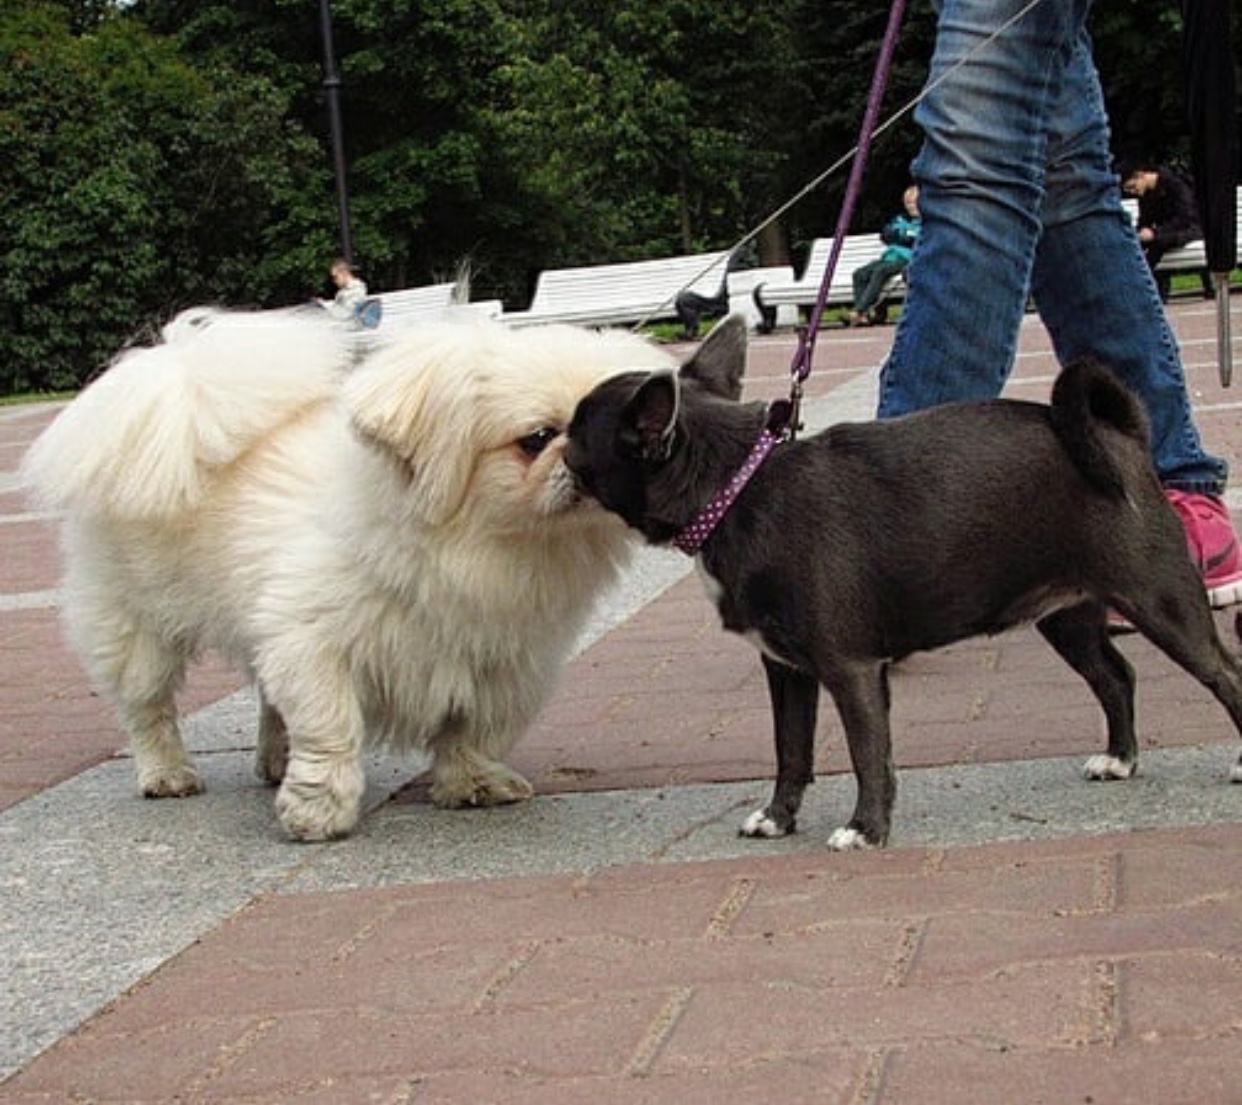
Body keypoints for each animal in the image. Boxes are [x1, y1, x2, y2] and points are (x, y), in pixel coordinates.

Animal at [21, 305, 680, 839]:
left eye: (624, 435)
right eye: (537, 438)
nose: (584, 463)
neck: (483, 546)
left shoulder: (504, 661)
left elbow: (475, 729)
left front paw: (472, 785)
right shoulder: (311, 643)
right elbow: (331, 727)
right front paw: (318, 812)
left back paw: (272, 760)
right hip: (138, 624)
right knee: (148, 706)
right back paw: (167, 773)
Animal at [566, 314, 1242, 849]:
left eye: (572, 437)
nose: (551, 443)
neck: (734, 489)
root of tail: (1117, 436)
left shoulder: (852, 670)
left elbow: (869, 753)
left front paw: (866, 828)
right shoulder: (787, 672)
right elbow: (792, 749)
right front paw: (778, 818)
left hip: (1160, 600)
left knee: (1224, 673)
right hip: (1066, 617)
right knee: (1116, 676)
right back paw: (1120, 759)